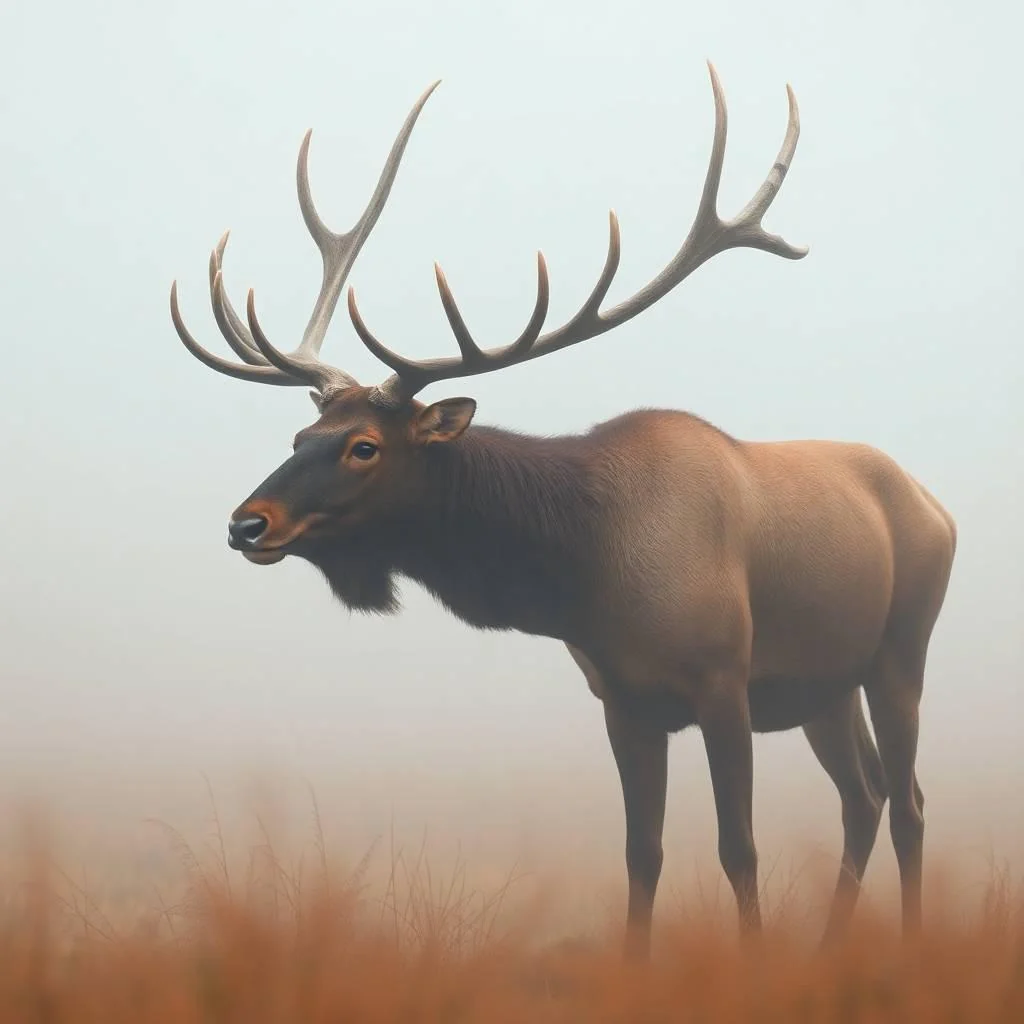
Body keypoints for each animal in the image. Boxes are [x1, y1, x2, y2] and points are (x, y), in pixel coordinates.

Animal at [169, 66, 958, 958]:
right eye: (303, 434)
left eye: (364, 446)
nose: (247, 523)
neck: (591, 572)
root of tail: (936, 506)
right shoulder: (621, 699)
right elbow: (641, 853)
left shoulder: (723, 681)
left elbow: (738, 849)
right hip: (827, 684)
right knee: (865, 795)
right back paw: (829, 948)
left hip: (901, 650)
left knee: (909, 801)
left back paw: (911, 942)